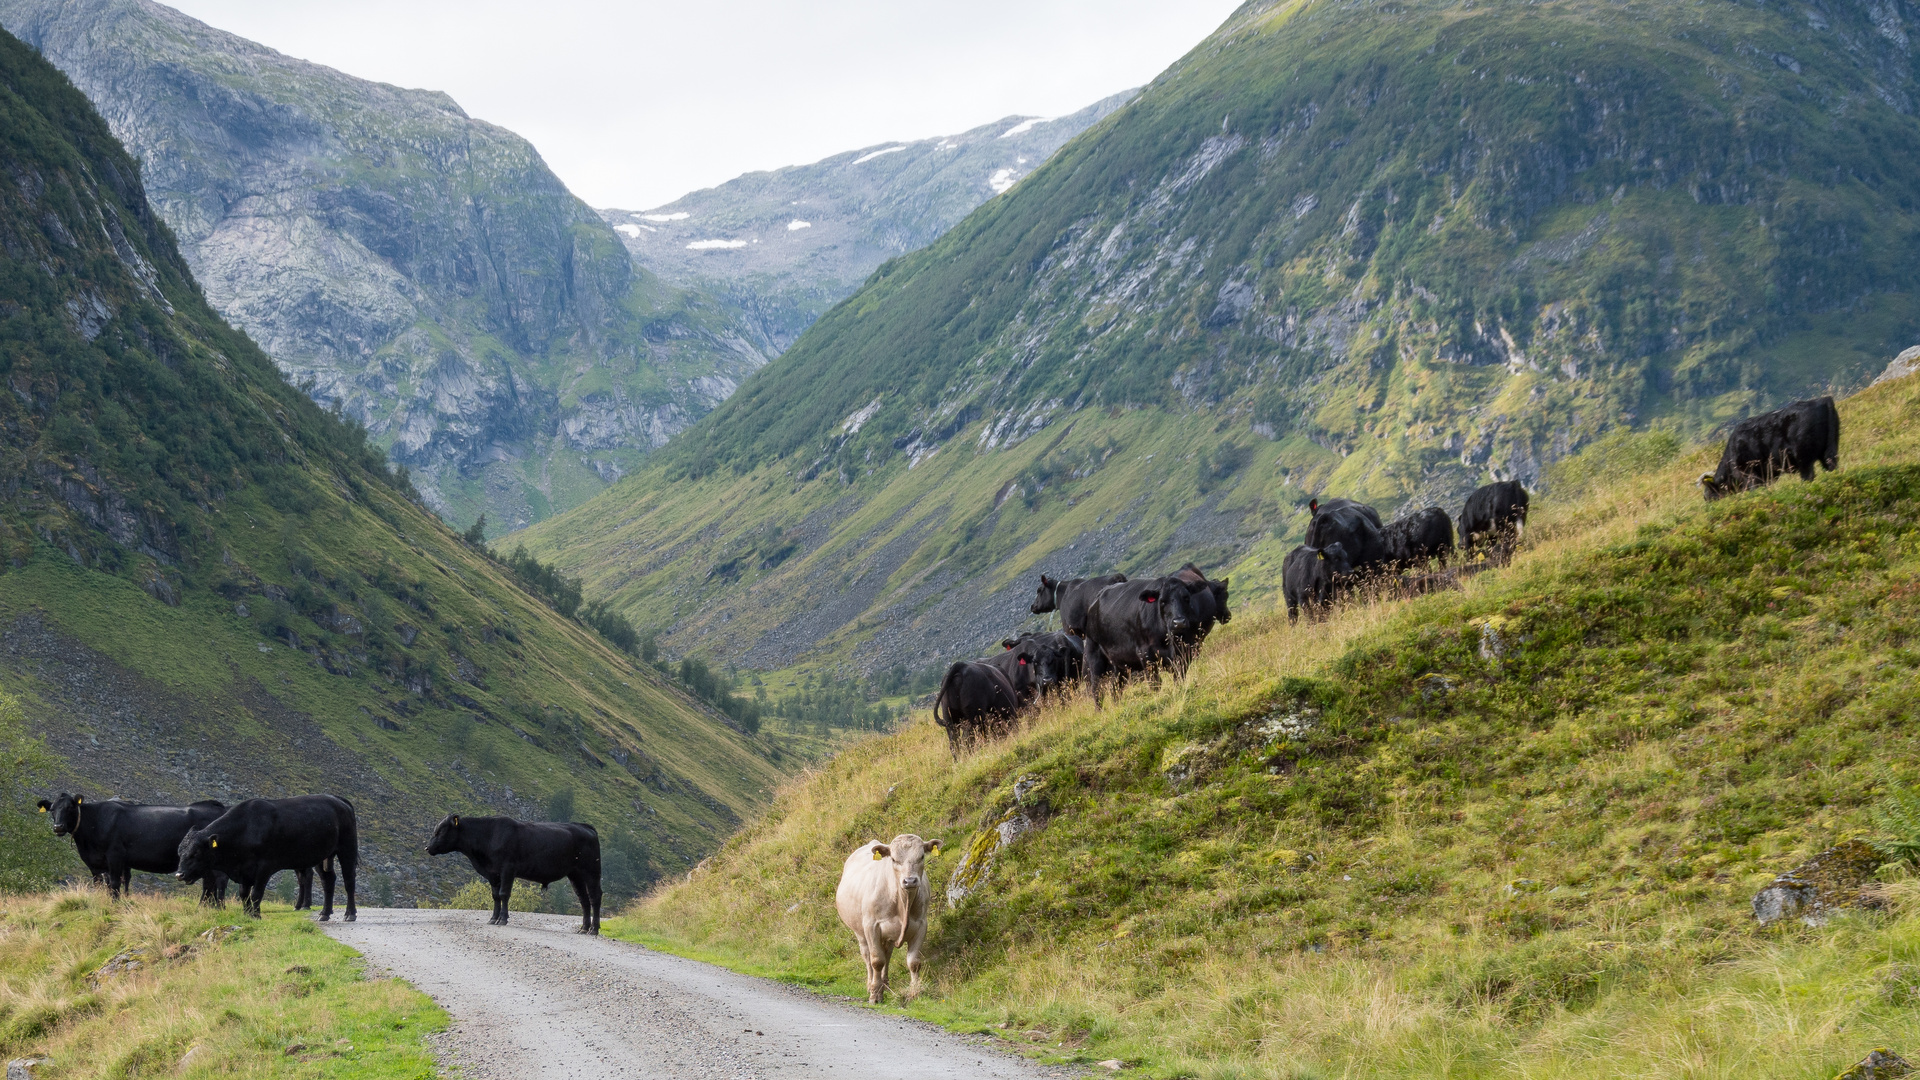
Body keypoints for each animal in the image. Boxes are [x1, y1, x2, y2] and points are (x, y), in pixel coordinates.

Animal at [36, 791, 230, 899]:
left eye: (70, 808)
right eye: (52, 809)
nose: (58, 827)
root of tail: (218, 807)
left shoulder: (115, 855)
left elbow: (115, 883)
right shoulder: (95, 863)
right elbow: (100, 884)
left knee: (217, 882)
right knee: (210, 884)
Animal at [174, 791, 359, 914]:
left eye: (195, 853)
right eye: (180, 852)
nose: (179, 874)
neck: (247, 828)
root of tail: (338, 799)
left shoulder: (264, 867)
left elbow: (256, 893)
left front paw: (256, 915)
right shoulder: (244, 871)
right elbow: (244, 894)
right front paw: (247, 913)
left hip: (347, 849)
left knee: (349, 880)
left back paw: (350, 913)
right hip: (322, 856)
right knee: (328, 880)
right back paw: (325, 914)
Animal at [426, 810, 599, 930]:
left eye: (440, 831)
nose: (427, 847)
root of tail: (583, 826)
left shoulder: (507, 869)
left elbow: (504, 894)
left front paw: (502, 919)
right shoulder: (493, 874)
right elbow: (495, 896)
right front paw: (493, 919)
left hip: (592, 871)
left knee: (594, 896)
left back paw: (594, 929)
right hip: (575, 874)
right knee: (583, 899)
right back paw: (584, 928)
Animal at [837, 834, 940, 999]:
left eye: (922, 856)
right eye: (893, 859)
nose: (910, 881)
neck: (902, 902)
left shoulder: (921, 925)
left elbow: (913, 962)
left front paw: (915, 991)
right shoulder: (871, 926)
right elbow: (877, 961)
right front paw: (875, 994)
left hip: (889, 935)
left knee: (887, 954)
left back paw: (885, 983)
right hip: (859, 931)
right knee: (867, 956)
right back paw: (871, 984)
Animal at [1697, 393, 1843, 499]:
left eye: (1708, 494)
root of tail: (1823, 400)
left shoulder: (1751, 476)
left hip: (1804, 457)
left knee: (1808, 476)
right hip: (1830, 451)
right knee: (1832, 467)